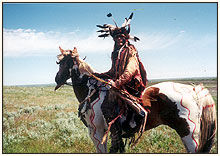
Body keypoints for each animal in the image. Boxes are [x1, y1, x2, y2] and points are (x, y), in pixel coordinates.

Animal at [54, 46, 217, 154]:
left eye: (62, 63)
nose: (57, 79)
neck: (91, 92)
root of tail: (193, 90)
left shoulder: (96, 132)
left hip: (189, 133)